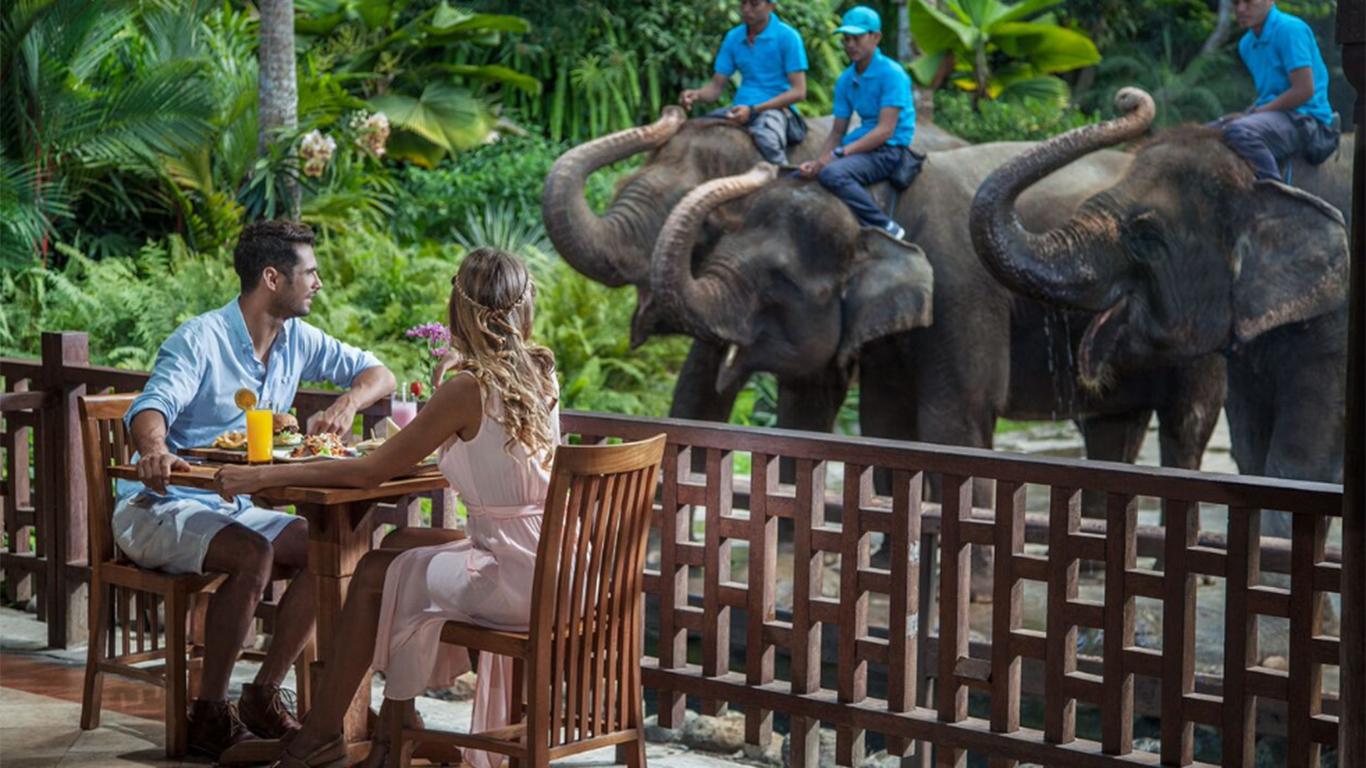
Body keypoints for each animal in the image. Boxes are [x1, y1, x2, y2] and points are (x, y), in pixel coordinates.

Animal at [972, 86, 1355, 532]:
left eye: (1148, 237)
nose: (1127, 97)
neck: (1265, 179)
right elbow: (1251, 454)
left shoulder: (1335, 331)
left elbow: (1296, 467)